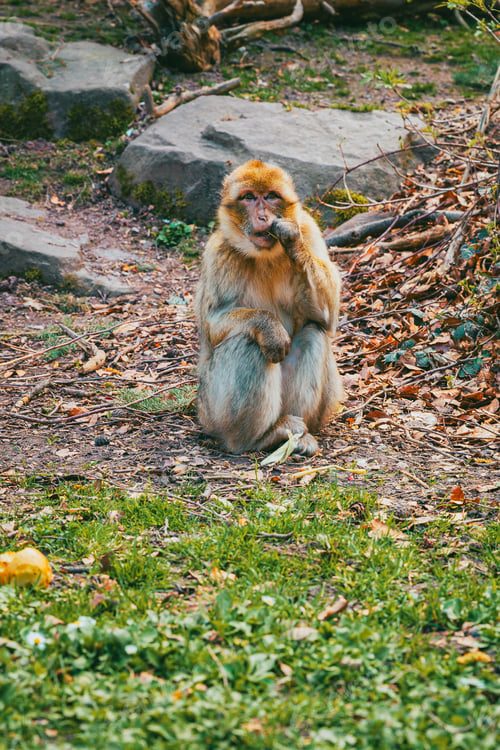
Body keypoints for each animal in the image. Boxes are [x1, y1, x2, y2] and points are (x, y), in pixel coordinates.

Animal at [195, 159, 342, 456]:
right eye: (249, 197)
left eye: (271, 196)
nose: (264, 217)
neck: (265, 255)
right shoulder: (219, 253)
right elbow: (212, 324)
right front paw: (269, 326)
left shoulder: (310, 229)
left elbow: (328, 316)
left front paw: (292, 241)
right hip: (210, 411)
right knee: (249, 341)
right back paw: (257, 438)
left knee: (314, 331)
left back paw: (295, 436)